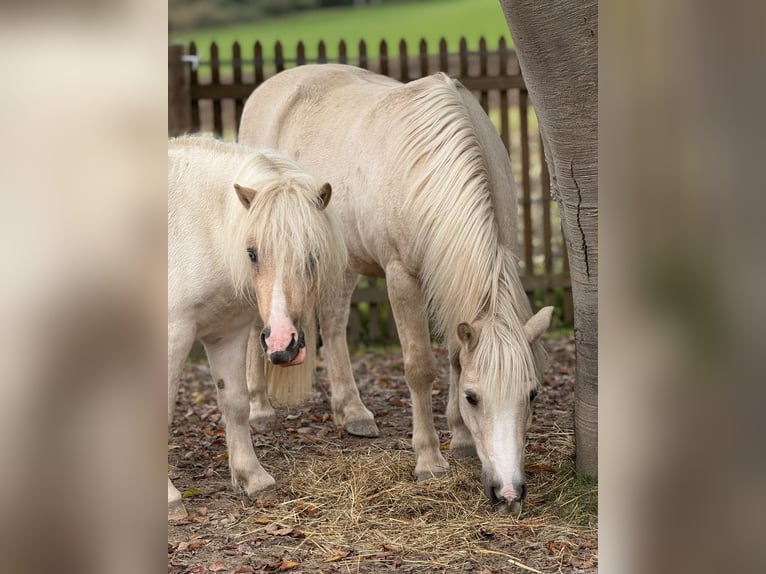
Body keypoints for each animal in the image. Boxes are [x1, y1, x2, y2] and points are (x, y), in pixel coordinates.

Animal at [170, 136, 348, 520]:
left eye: (313, 256)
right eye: (251, 253)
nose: (283, 344)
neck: (199, 231)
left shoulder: (227, 335)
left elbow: (236, 403)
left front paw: (252, 477)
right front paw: (169, 498)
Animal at [240, 65, 552, 516]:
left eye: (531, 394)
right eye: (474, 397)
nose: (509, 494)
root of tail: (271, 86)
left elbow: (454, 356)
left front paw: (459, 438)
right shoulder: (402, 276)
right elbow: (419, 366)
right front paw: (429, 460)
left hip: (340, 260)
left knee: (333, 324)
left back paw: (352, 411)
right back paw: (259, 408)